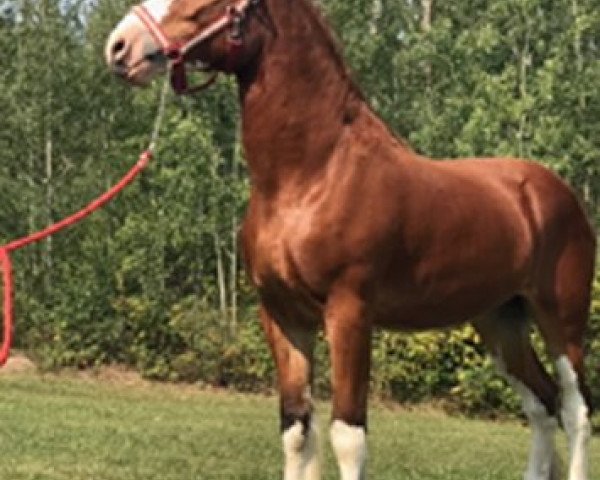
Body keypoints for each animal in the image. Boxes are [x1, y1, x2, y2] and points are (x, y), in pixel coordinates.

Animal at [104, 1, 596, 478]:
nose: (119, 46)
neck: (311, 176)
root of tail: (553, 190)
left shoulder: (349, 312)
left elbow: (347, 435)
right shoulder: (283, 315)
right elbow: (296, 430)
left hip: (561, 320)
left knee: (575, 409)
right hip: (500, 320)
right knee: (541, 404)